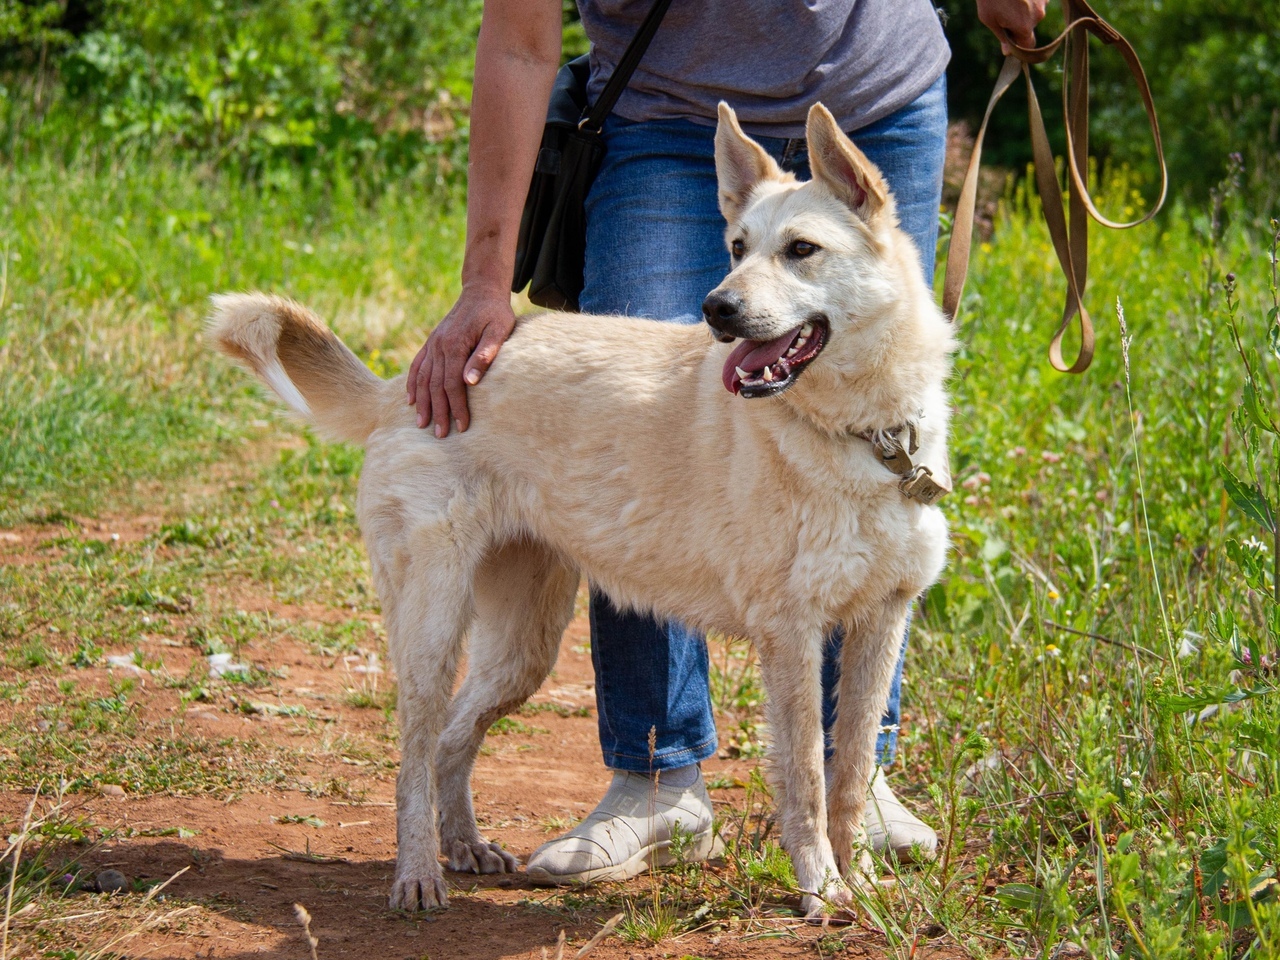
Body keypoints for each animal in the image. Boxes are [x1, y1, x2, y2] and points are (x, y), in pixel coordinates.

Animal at [209, 101, 952, 921]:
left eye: (801, 250)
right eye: (736, 247)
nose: (716, 308)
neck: (865, 437)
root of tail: (404, 384)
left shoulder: (880, 622)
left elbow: (850, 774)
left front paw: (866, 884)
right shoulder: (790, 635)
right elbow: (809, 786)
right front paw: (820, 887)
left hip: (522, 650)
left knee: (451, 741)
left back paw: (465, 847)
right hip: (432, 631)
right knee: (411, 755)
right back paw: (418, 875)